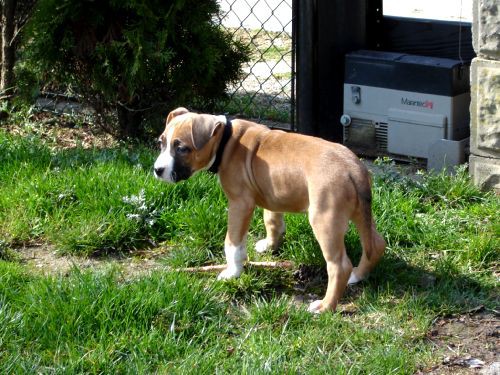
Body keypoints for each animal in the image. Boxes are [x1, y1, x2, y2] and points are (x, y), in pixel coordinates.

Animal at [153, 108, 386, 314]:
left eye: (182, 148)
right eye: (161, 143)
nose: (157, 170)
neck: (226, 142)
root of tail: (352, 168)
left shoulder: (240, 204)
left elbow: (233, 242)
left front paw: (232, 272)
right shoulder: (271, 193)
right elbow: (272, 220)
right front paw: (271, 245)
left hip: (325, 219)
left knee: (339, 266)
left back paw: (325, 306)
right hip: (359, 213)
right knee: (376, 244)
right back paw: (358, 275)